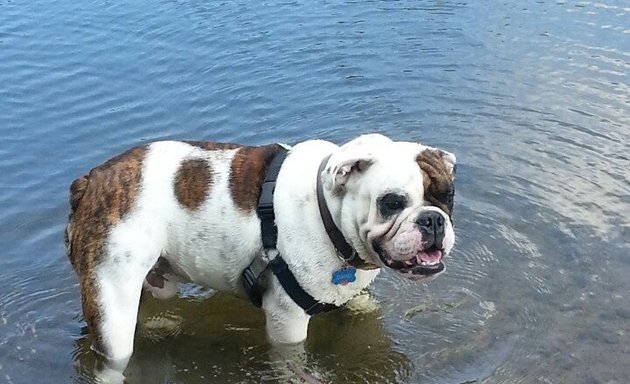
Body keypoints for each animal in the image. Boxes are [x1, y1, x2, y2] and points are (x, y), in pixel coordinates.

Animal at [65, 134, 460, 380]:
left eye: (447, 196)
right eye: (391, 202)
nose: (432, 220)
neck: (329, 213)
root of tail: (91, 180)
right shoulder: (287, 323)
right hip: (112, 301)